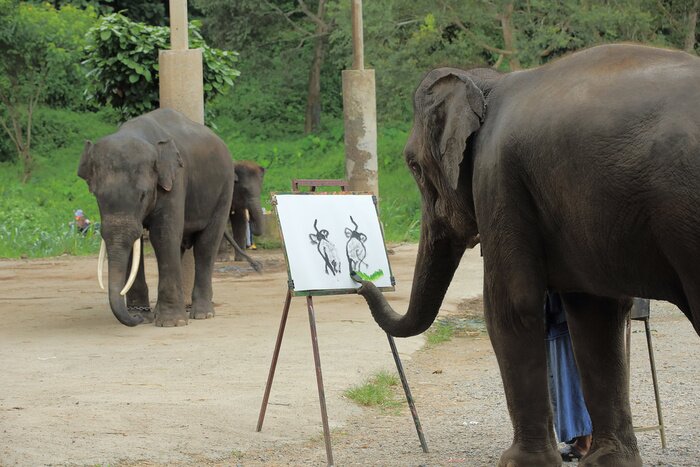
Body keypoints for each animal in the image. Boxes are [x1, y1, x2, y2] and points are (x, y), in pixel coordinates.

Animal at [78, 108, 234, 327]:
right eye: (97, 196)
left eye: (142, 195)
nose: (135, 317)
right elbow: (137, 245)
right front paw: (143, 317)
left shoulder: (175, 182)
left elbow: (163, 237)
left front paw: (171, 323)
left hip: (225, 188)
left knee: (206, 244)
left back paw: (202, 314)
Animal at [351, 43, 700, 466]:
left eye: (414, 167)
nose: (358, 279)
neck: (489, 82)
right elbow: (594, 313)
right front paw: (608, 462)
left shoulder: (498, 178)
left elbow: (511, 307)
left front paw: (518, 462)